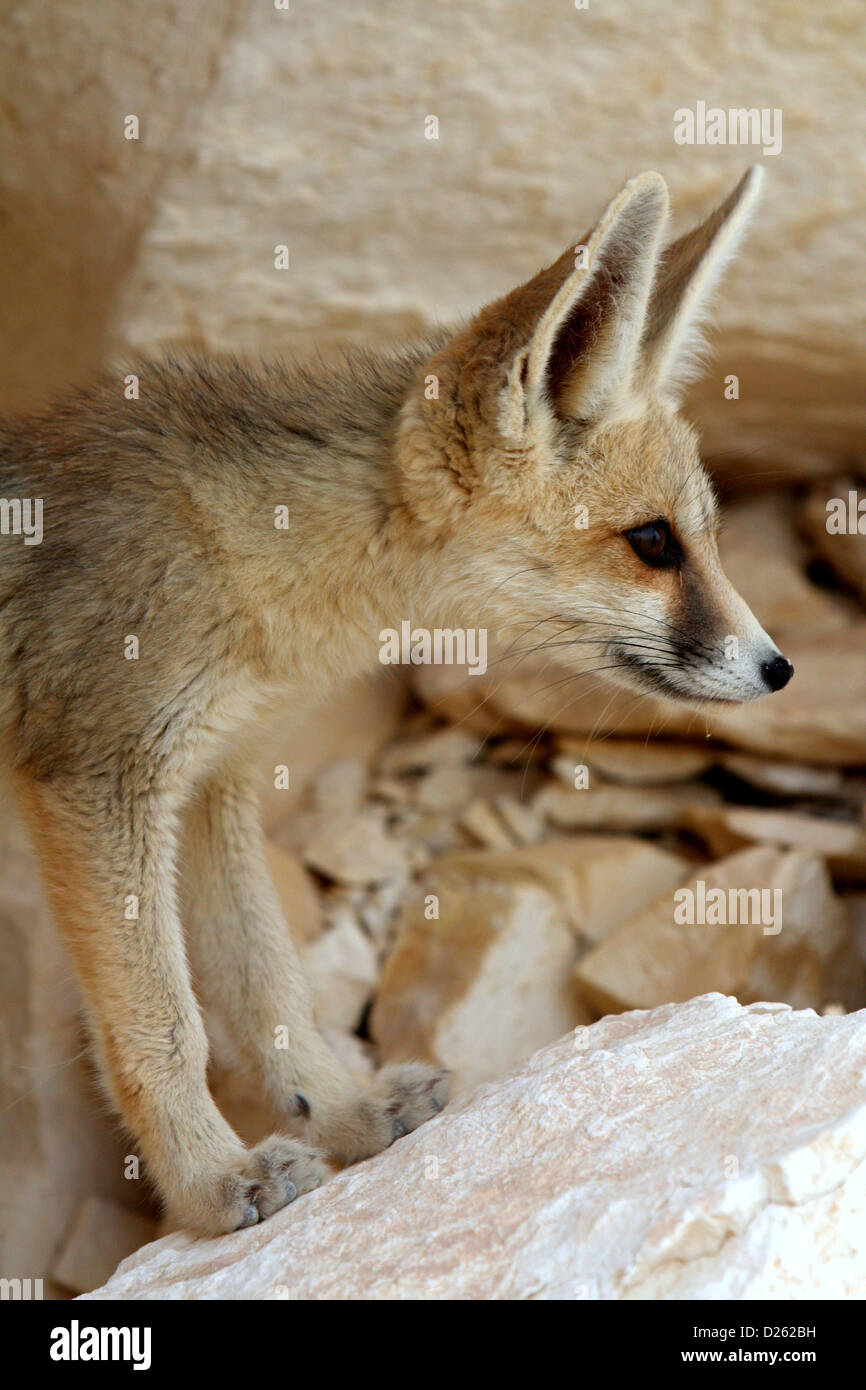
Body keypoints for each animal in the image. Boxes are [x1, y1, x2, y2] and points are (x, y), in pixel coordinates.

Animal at [0, 165, 795, 1239]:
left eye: (703, 538)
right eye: (653, 543)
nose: (778, 667)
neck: (253, 560)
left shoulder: (211, 785)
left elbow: (268, 986)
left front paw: (342, 1112)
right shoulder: (100, 781)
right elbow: (165, 1023)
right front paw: (211, 1182)